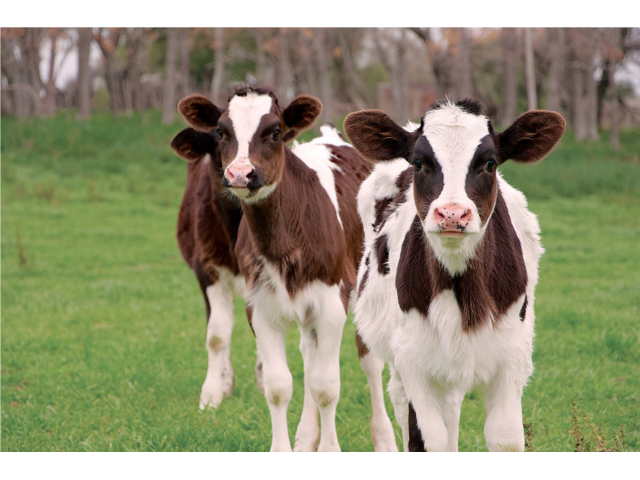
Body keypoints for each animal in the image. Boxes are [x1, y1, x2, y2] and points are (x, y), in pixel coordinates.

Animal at [177, 86, 398, 453]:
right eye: (221, 132)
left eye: (275, 132)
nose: (240, 173)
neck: (282, 240)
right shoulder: (260, 307)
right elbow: (279, 386)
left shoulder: (330, 304)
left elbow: (326, 387)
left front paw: (329, 448)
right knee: (309, 357)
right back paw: (306, 435)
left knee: (370, 362)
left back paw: (384, 438)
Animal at [344, 98, 566, 452]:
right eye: (419, 162)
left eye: (490, 163)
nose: (451, 214)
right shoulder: (413, 359)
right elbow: (426, 438)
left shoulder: (512, 357)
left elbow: (505, 436)